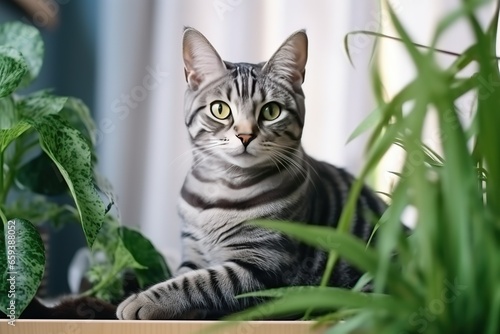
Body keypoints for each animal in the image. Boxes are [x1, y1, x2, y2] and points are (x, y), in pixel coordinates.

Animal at [117, 27, 386, 320]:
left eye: (271, 111)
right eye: (220, 109)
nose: (245, 135)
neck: (222, 188)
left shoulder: (263, 266)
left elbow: (197, 282)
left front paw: (144, 300)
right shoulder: (193, 251)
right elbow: (183, 275)